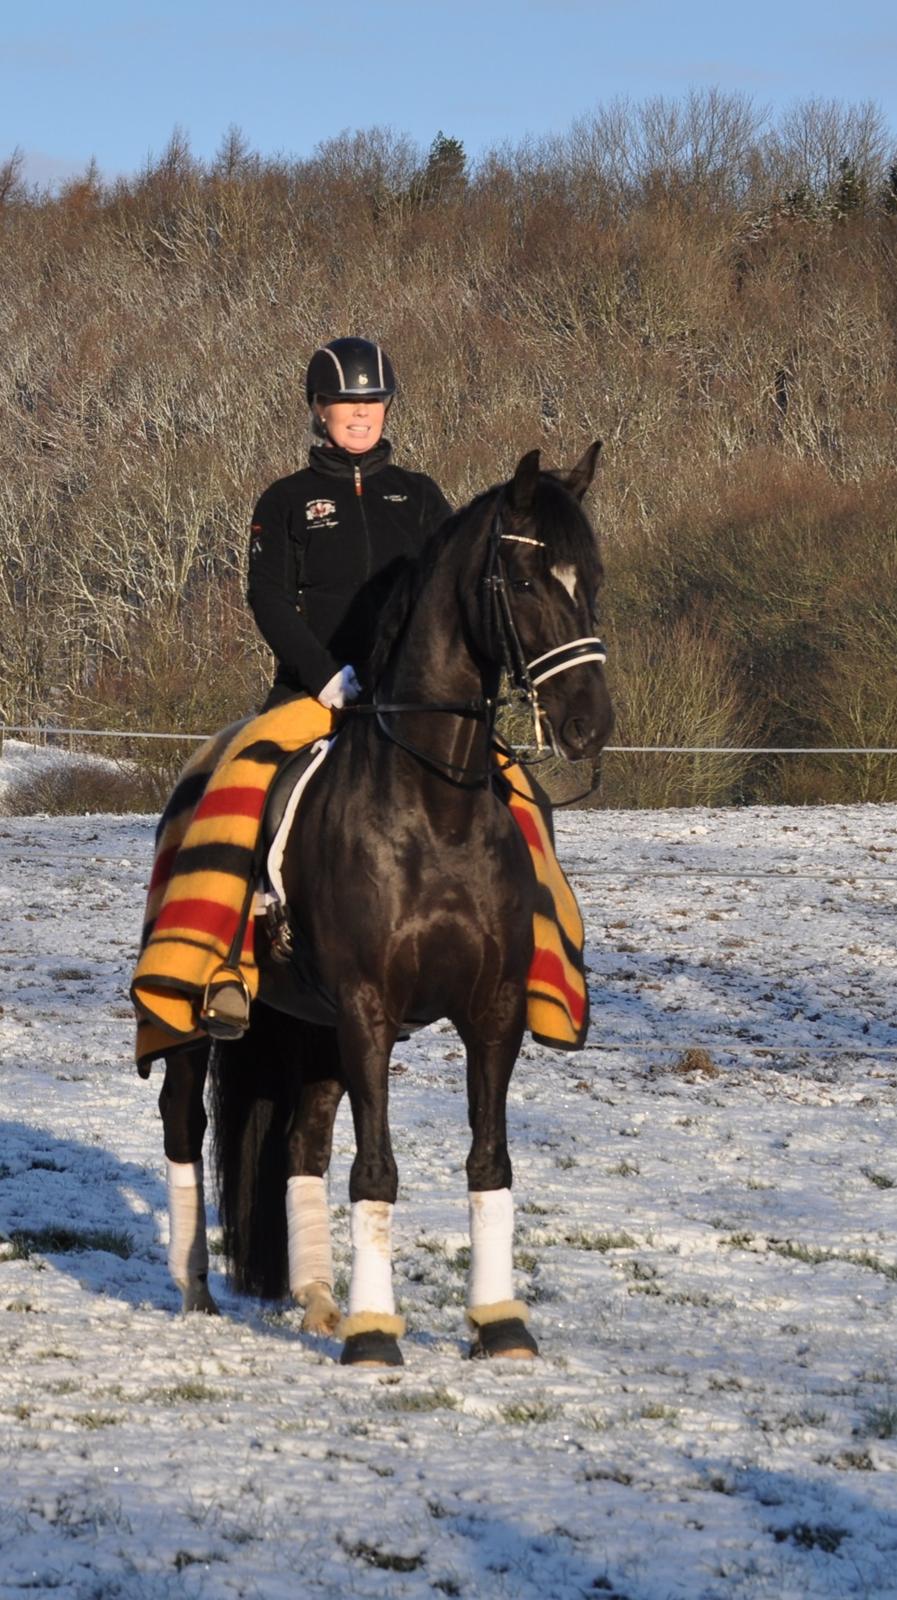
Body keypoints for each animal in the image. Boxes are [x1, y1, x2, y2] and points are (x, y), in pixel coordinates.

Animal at [159, 448, 607, 1363]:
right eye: (524, 578)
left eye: (594, 579)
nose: (591, 722)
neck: (433, 805)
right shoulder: (369, 1006)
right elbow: (376, 1169)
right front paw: (373, 1333)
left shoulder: (491, 1011)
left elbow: (488, 1162)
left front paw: (497, 1322)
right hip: (197, 1021)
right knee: (183, 1126)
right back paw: (197, 1292)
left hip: (311, 1027)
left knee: (300, 1142)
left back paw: (315, 1300)